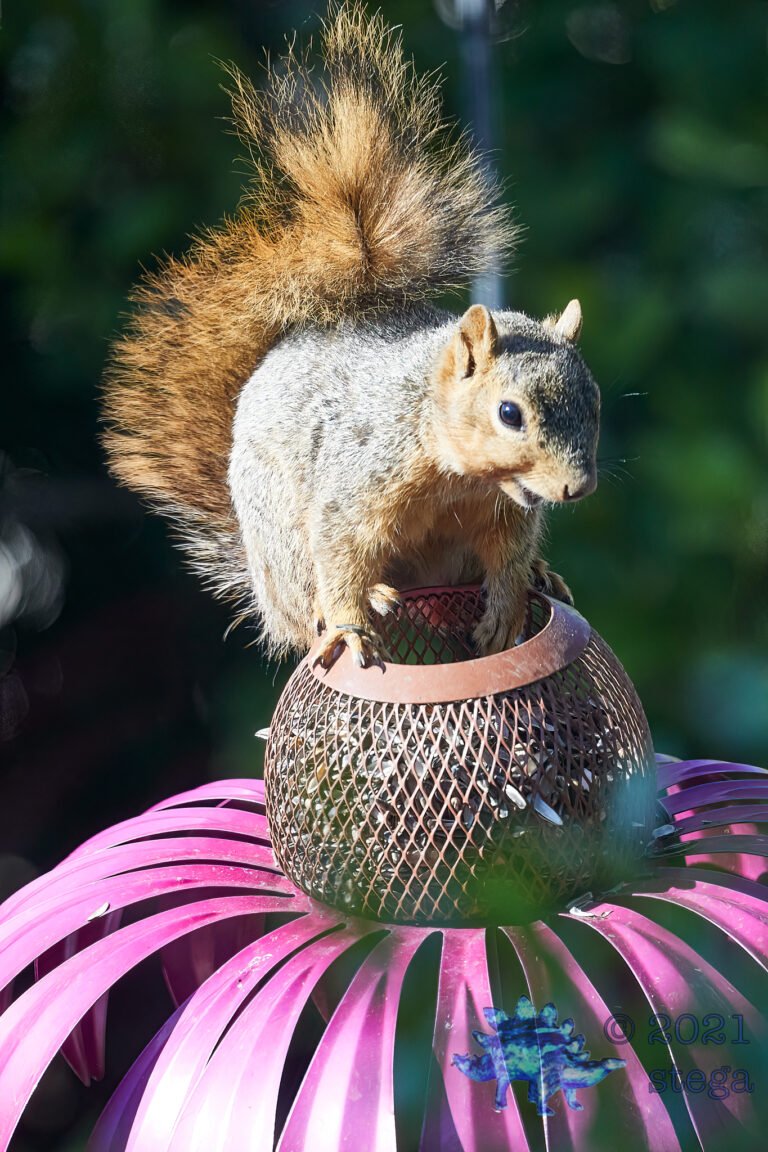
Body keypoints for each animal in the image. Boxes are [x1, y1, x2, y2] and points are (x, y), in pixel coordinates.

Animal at [102, 2, 600, 670]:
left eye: (595, 402)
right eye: (508, 413)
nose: (577, 487)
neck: (456, 474)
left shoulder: (504, 515)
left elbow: (509, 556)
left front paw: (506, 604)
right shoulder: (352, 483)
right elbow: (339, 551)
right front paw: (348, 625)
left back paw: (540, 577)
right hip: (281, 537)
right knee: (308, 594)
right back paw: (371, 598)